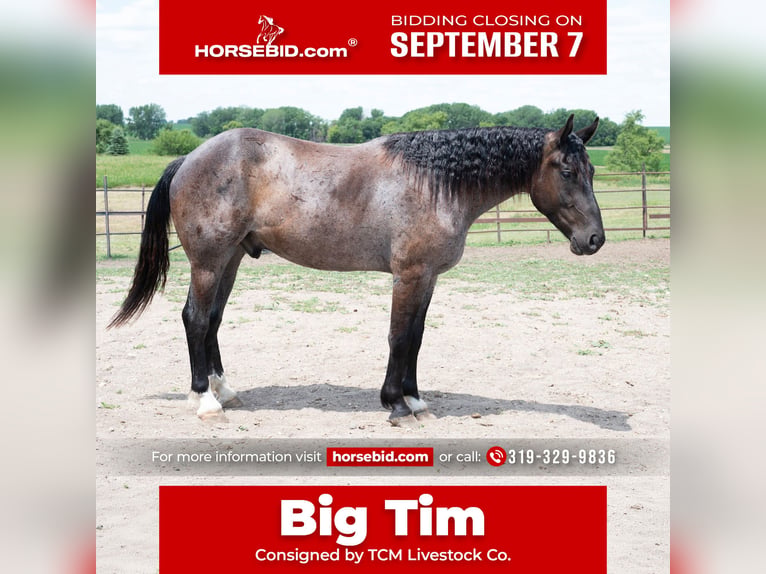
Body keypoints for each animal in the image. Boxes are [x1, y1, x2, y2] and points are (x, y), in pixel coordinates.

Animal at [108, 114, 604, 425]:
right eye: (566, 170)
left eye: (593, 170)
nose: (594, 239)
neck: (435, 184)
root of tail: (190, 158)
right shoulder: (409, 275)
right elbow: (399, 337)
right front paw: (396, 405)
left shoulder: (427, 277)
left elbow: (416, 338)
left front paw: (416, 400)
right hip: (208, 262)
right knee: (194, 318)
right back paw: (206, 401)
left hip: (229, 259)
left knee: (211, 320)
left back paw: (225, 391)